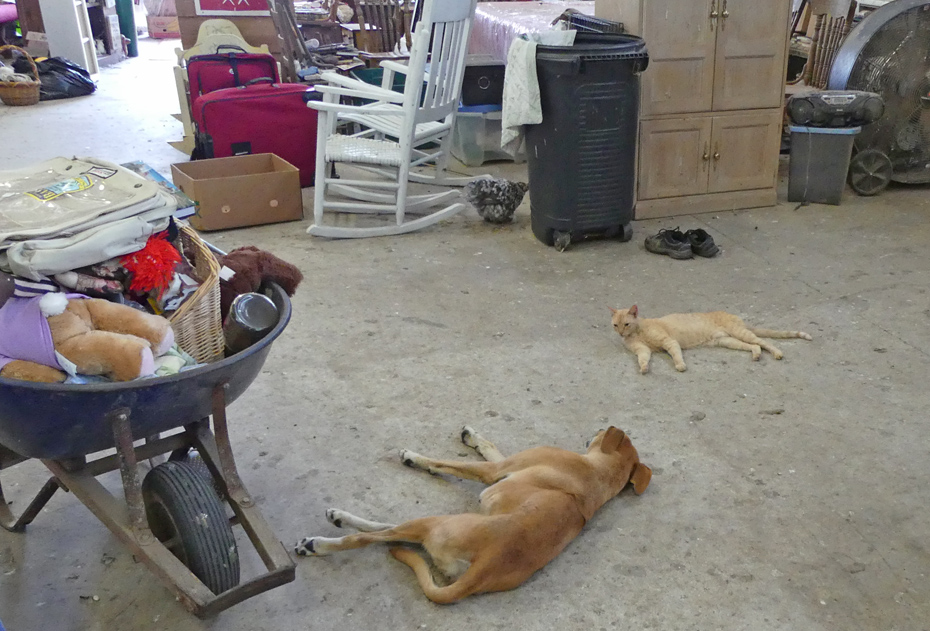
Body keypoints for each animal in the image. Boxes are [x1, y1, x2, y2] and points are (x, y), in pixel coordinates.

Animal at [294, 428, 648, 604]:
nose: (595, 430)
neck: (598, 474)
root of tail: (482, 570)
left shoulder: (496, 470)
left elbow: (452, 463)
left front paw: (416, 458)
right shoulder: (502, 466)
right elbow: (488, 447)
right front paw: (472, 436)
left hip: (435, 523)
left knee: (369, 537)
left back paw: (319, 541)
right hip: (437, 524)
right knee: (390, 531)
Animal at [604, 306, 808, 376]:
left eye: (626, 324)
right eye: (616, 325)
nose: (621, 333)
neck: (637, 332)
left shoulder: (669, 341)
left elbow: (676, 354)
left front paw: (680, 365)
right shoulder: (642, 350)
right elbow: (643, 359)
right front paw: (644, 368)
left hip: (740, 333)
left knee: (764, 342)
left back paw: (777, 352)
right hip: (728, 341)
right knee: (755, 345)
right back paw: (756, 355)